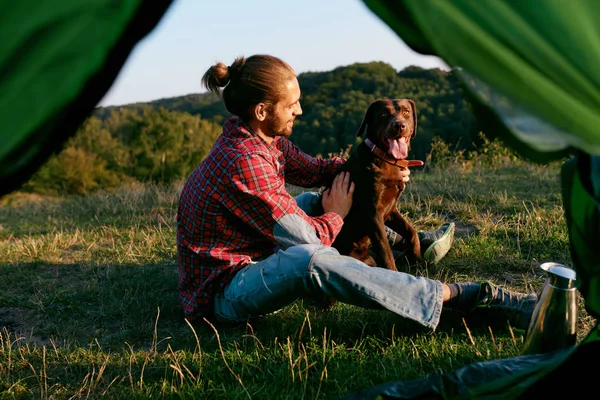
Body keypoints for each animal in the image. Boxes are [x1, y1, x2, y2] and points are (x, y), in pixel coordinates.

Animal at [332, 98, 422, 270]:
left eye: (406, 111)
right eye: (384, 113)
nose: (399, 125)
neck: (387, 159)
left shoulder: (391, 208)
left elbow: (411, 232)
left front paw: (417, 259)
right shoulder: (373, 213)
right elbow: (386, 252)